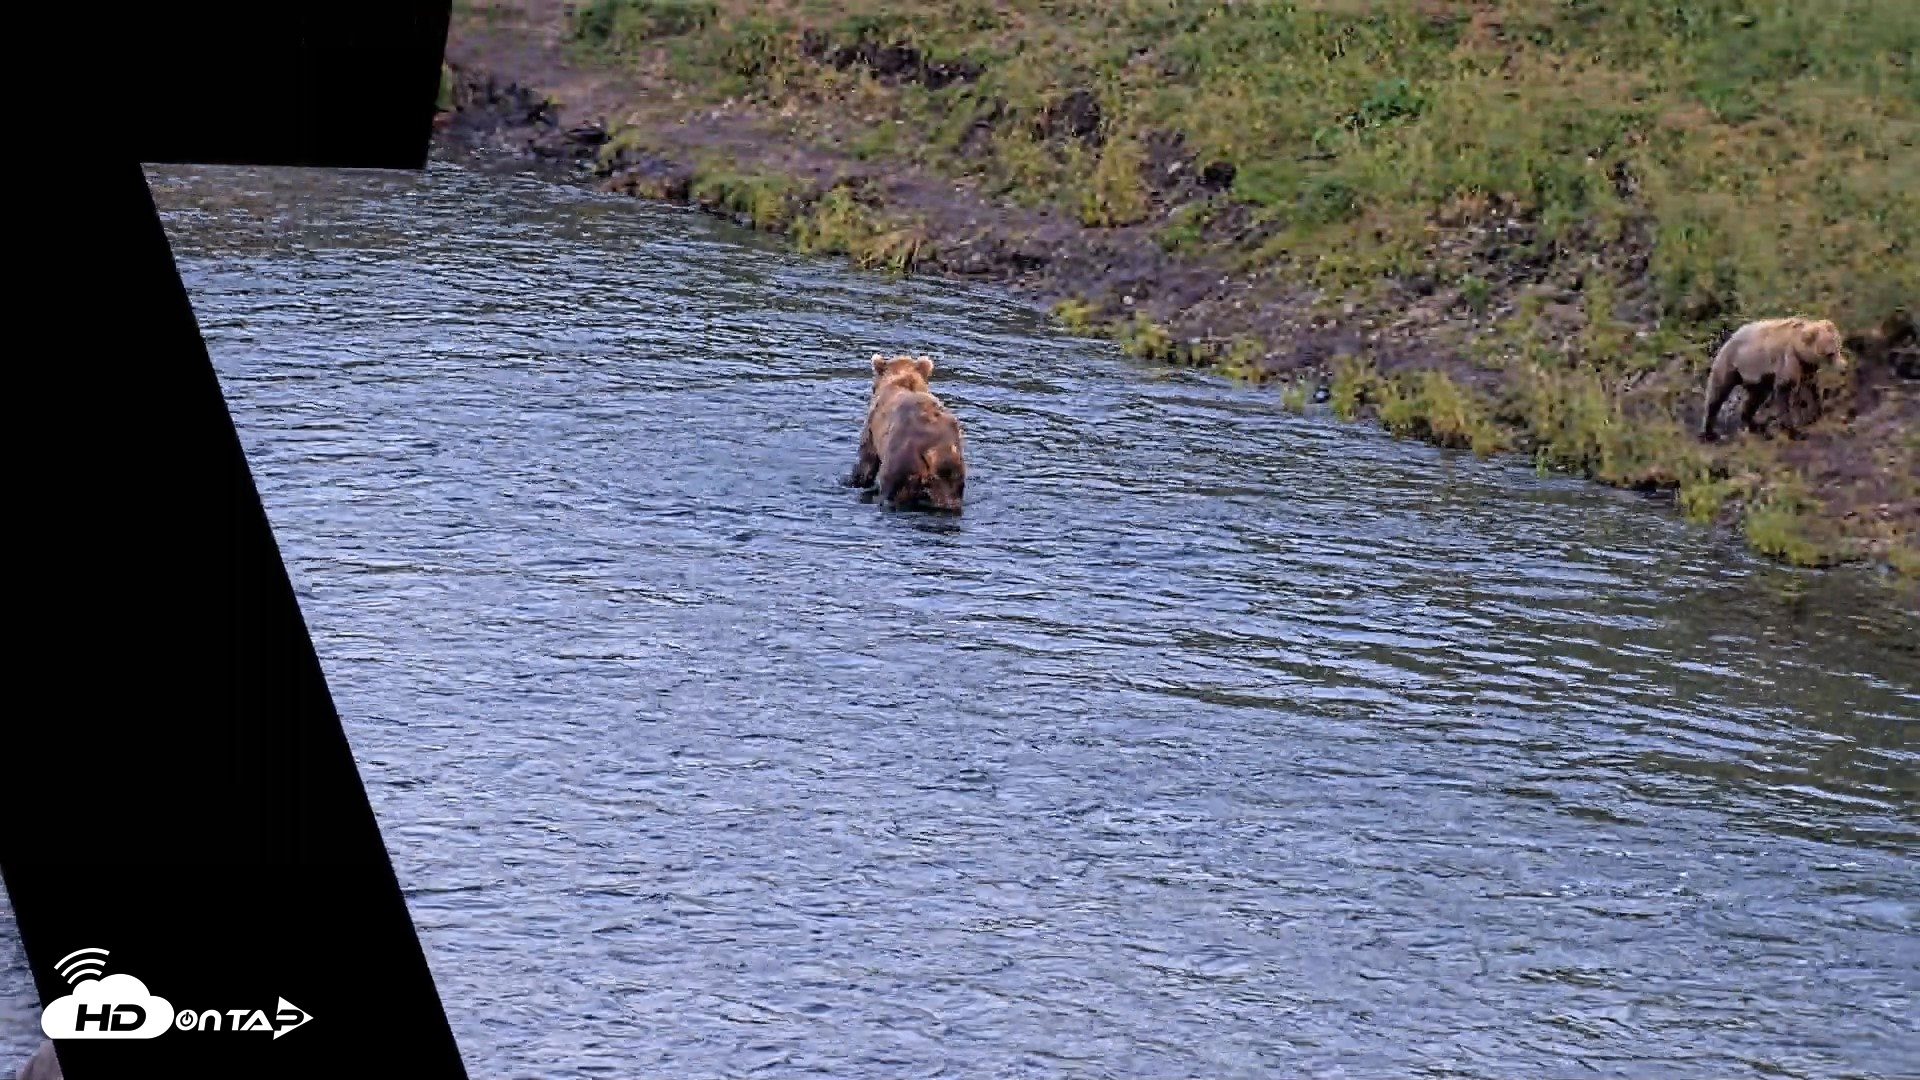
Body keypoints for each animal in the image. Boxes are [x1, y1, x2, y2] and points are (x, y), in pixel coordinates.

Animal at [847, 353, 967, 513]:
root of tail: (932, 451)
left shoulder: (872, 424)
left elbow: (866, 460)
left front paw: (854, 481)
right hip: (950, 473)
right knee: (949, 499)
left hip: (902, 462)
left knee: (890, 491)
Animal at [1698, 316, 1849, 441]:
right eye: (1830, 353)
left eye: (1839, 347)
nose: (1844, 366)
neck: (1799, 349)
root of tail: (1730, 336)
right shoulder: (1788, 361)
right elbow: (1784, 394)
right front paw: (1795, 431)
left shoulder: (1806, 368)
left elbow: (1813, 388)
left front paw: (1816, 413)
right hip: (1732, 363)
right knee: (1717, 394)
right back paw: (1709, 433)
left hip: (1759, 377)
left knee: (1754, 398)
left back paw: (1755, 424)